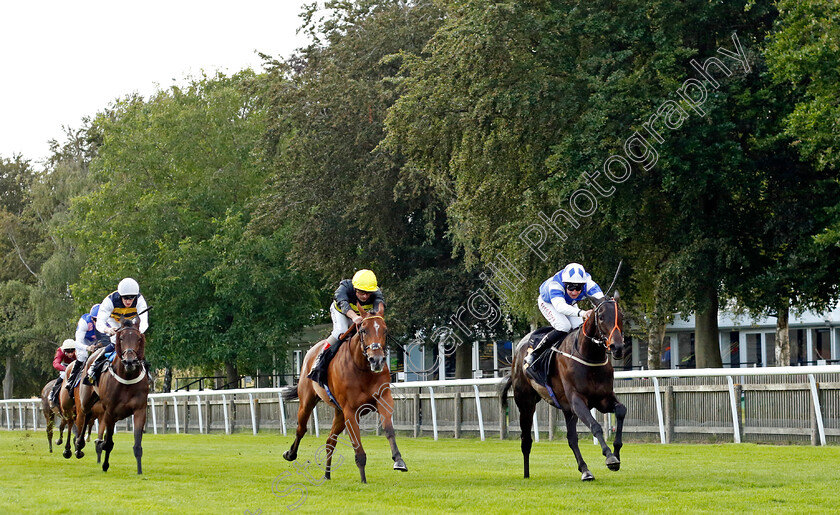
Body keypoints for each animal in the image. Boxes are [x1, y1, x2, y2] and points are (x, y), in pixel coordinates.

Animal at [74, 320, 149, 474]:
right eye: (121, 338)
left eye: (139, 339)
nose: (130, 362)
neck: (127, 377)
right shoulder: (109, 411)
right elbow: (108, 443)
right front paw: (104, 464)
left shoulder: (140, 410)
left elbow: (137, 444)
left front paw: (139, 471)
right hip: (86, 401)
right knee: (85, 416)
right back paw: (79, 446)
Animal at [280, 304, 408, 482]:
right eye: (363, 330)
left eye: (385, 330)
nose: (376, 360)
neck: (362, 368)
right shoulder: (350, 410)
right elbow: (356, 442)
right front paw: (363, 479)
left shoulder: (383, 399)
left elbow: (389, 430)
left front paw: (399, 461)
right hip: (307, 402)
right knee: (301, 429)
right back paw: (290, 454)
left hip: (339, 413)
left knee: (330, 441)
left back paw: (327, 474)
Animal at [502, 294, 628, 484]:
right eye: (600, 317)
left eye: (620, 316)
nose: (617, 347)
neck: (589, 356)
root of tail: (518, 351)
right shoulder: (577, 401)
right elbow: (595, 425)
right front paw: (610, 457)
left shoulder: (603, 399)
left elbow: (621, 410)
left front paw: (617, 452)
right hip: (526, 403)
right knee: (526, 439)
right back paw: (526, 473)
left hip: (567, 409)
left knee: (571, 439)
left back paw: (585, 470)